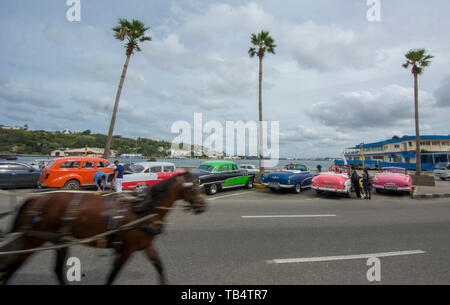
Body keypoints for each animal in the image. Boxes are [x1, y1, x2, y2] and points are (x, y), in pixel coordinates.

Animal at [0, 172, 207, 284]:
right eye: (192, 188)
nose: (203, 206)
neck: (143, 210)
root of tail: (34, 200)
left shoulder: (146, 246)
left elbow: (160, 268)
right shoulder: (126, 250)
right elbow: (112, 276)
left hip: (60, 240)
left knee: (57, 269)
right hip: (33, 239)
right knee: (13, 267)